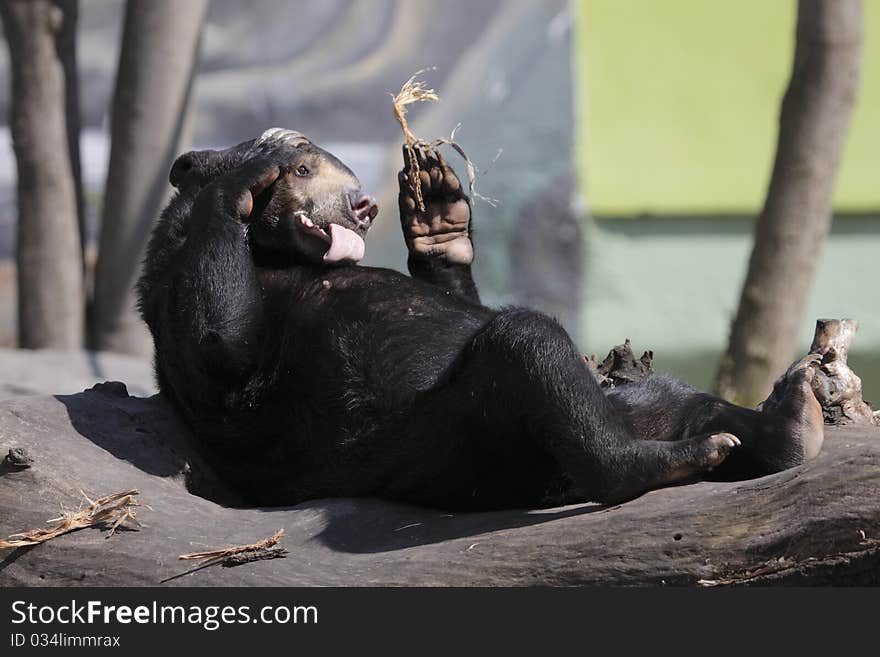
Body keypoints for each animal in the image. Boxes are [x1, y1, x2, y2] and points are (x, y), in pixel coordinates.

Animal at [136, 127, 824, 508]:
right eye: (306, 172)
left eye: (350, 178)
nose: (362, 206)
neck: (276, 252)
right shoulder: (175, 287)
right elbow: (219, 345)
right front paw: (255, 167)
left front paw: (437, 211)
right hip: (459, 439)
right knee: (529, 345)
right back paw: (681, 456)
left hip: (604, 408)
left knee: (673, 395)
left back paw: (791, 420)